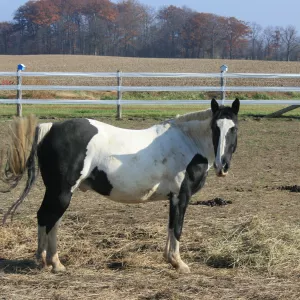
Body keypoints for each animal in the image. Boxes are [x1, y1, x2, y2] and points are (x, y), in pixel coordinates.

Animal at [0, 97, 239, 274]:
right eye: (215, 128)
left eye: (234, 129)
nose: (223, 166)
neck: (188, 142)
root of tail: (50, 127)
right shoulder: (182, 196)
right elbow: (178, 228)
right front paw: (179, 263)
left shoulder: (173, 198)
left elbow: (171, 227)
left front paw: (169, 259)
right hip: (62, 192)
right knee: (47, 218)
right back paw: (49, 262)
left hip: (58, 192)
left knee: (49, 219)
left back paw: (49, 261)